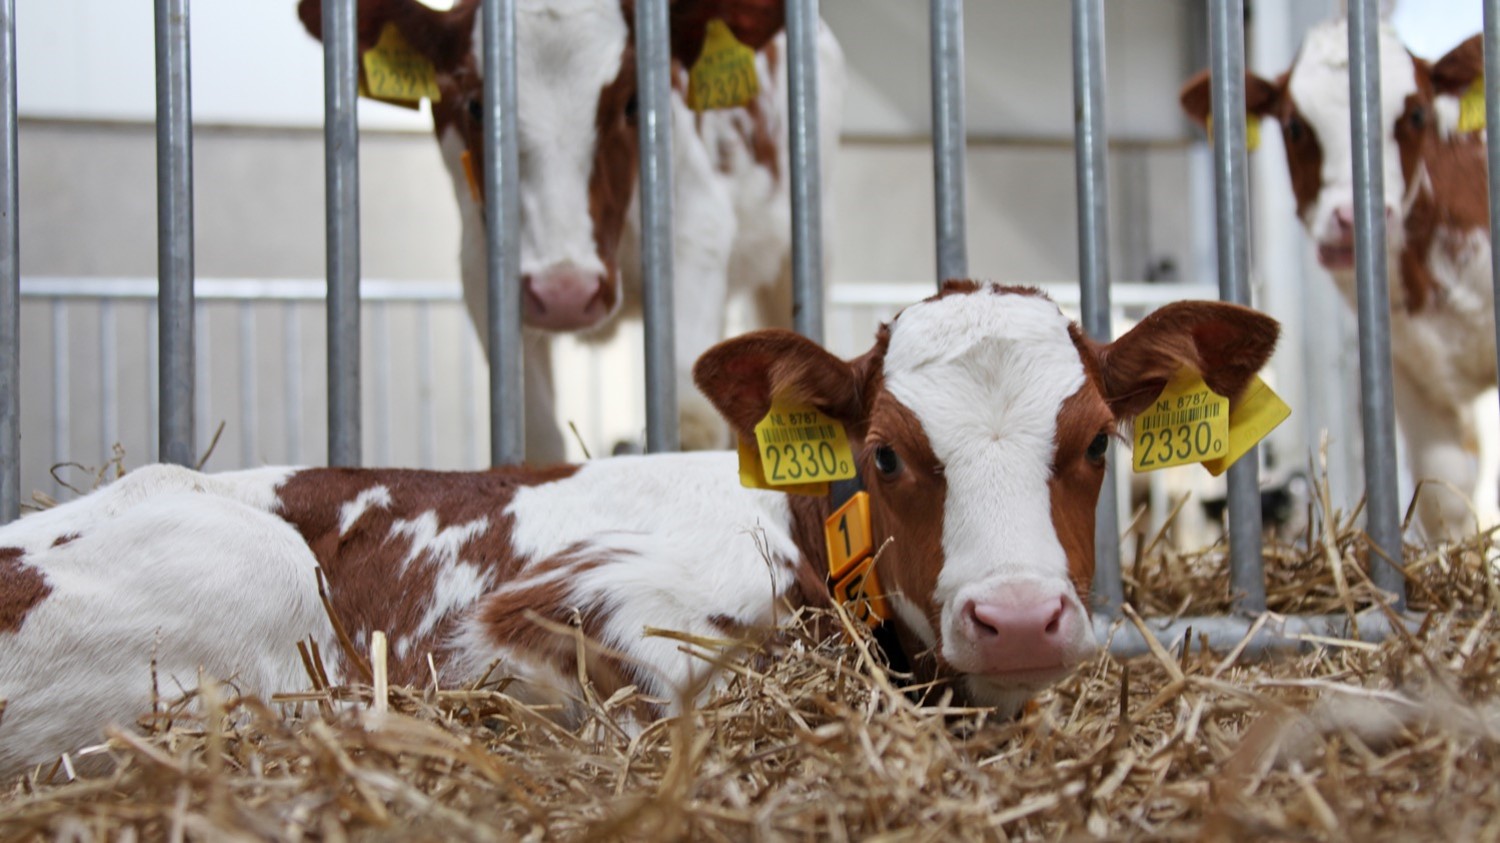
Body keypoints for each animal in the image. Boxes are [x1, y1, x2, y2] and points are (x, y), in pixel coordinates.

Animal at [301, 0, 846, 459]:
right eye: (476, 106)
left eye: (633, 103)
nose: (566, 293)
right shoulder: (483, 271)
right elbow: (535, 437)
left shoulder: (696, 235)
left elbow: (690, 424)